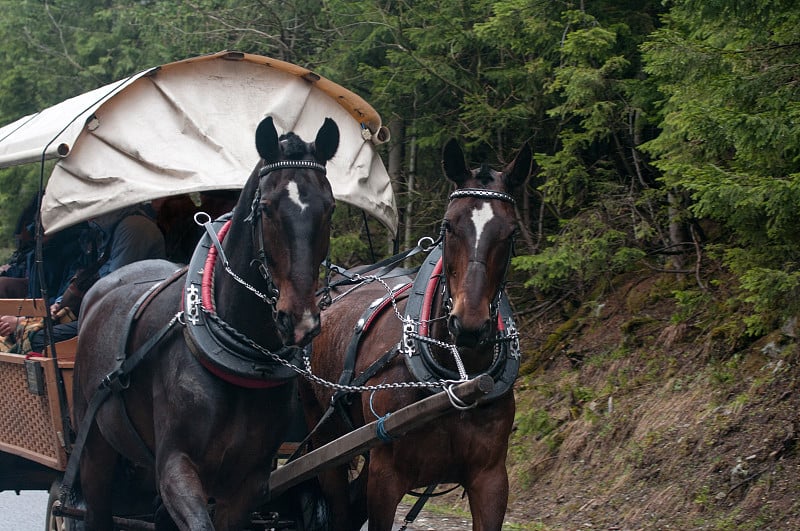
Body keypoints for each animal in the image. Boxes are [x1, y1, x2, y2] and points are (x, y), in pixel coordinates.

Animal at [69, 117, 340, 531]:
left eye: (329, 208)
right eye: (267, 208)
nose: (299, 318)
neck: (241, 357)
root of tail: (98, 293)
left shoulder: (249, 482)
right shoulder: (176, 467)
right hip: (94, 449)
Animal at [300, 140, 532, 531]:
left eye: (512, 232)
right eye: (448, 226)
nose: (469, 325)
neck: (457, 376)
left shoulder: (490, 479)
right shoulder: (386, 478)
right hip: (323, 438)